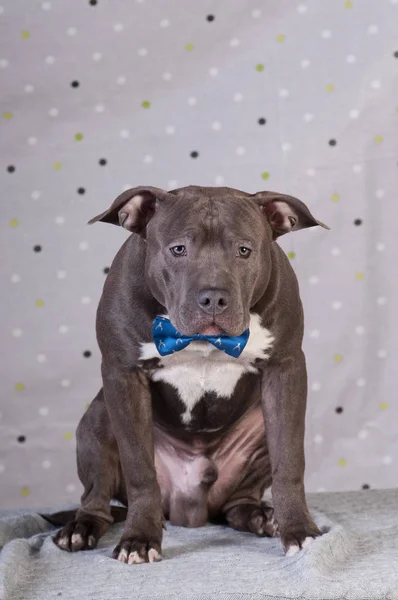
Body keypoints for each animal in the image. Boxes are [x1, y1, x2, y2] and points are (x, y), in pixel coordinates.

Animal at [49, 185, 328, 564]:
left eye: (244, 250)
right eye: (178, 249)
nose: (213, 298)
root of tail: (188, 510)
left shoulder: (285, 369)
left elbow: (289, 461)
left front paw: (299, 530)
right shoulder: (122, 375)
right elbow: (140, 470)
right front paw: (139, 538)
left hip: (258, 429)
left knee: (238, 504)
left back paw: (261, 517)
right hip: (100, 415)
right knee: (97, 498)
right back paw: (81, 528)